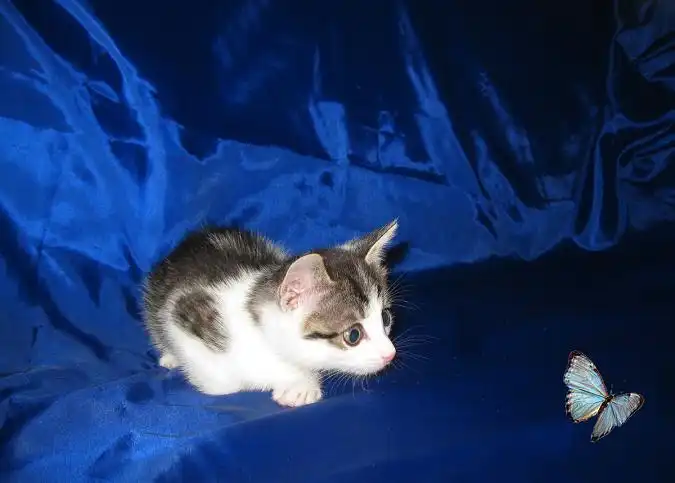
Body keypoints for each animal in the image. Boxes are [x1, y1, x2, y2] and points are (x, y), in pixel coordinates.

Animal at [142, 220, 399, 407]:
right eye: (353, 335)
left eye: (385, 318)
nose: (391, 355)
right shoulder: (182, 311)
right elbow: (224, 385)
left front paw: (301, 386)